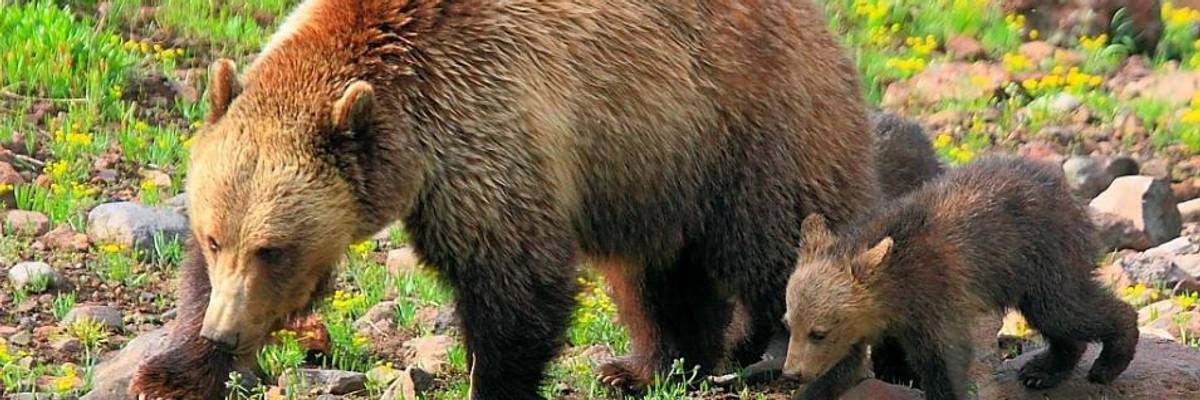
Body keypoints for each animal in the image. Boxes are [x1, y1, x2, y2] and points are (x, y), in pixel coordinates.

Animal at [129, 0, 879, 398]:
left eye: (273, 249)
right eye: (216, 237)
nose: (226, 330)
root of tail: (825, 29)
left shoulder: (487, 130)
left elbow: (514, 283)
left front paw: (491, 381)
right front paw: (172, 369)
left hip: (748, 128)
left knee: (783, 249)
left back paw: (800, 366)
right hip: (654, 170)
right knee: (657, 277)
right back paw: (647, 367)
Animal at [781, 155, 1139, 400]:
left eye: (819, 332)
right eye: (789, 323)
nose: (792, 372)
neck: (894, 294)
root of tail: (1064, 188)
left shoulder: (934, 294)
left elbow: (945, 358)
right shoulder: (861, 323)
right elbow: (842, 367)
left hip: (1042, 253)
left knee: (1067, 310)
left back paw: (1107, 362)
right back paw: (1043, 370)